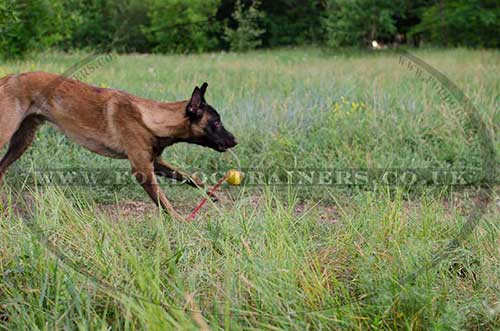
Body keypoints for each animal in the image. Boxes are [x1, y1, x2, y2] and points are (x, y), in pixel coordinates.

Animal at [0, 72, 238, 220]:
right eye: (216, 123)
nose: (235, 140)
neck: (152, 119)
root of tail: (7, 78)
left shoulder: (155, 162)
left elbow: (189, 177)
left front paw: (212, 193)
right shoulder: (143, 169)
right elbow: (164, 202)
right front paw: (180, 220)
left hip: (21, 141)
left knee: (1, 168)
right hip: (7, 133)